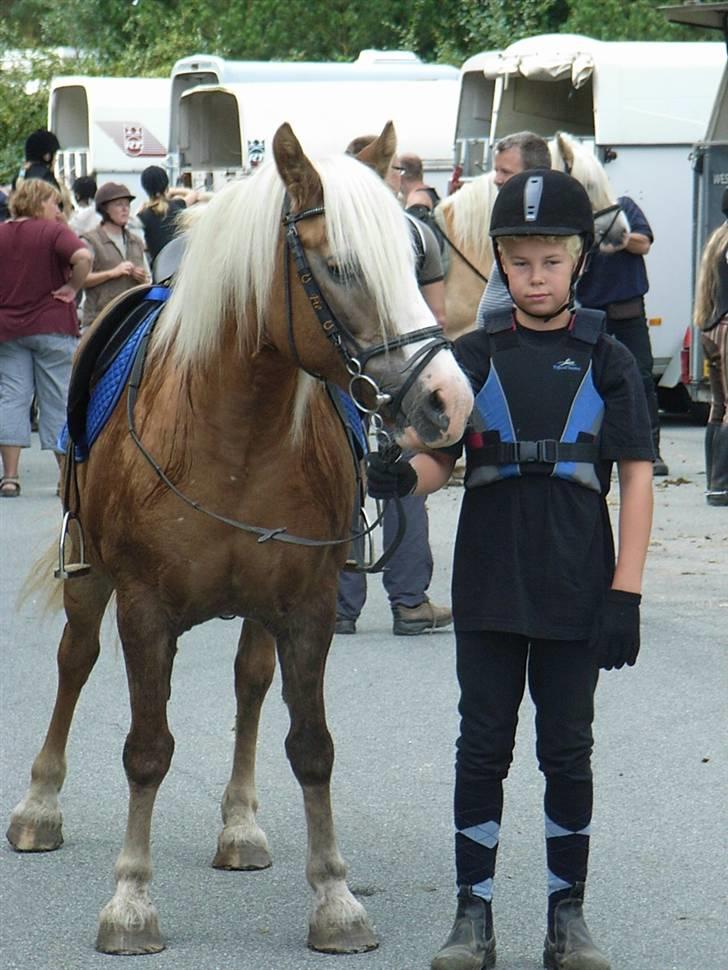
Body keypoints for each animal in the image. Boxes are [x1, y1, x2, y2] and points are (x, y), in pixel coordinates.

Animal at [5, 121, 474, 952]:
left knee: (250, 683)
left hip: (260, 605)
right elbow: (147, 750)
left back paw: (240, 824)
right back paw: (39, 805)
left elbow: (311, 747)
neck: (234, 435)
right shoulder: (144, 608)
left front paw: (334, 897)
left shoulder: (308, 604)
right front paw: (130, 899)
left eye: (416, 258)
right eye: (339, 265)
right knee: (74, 661)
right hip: (91, 577)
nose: (449, 400)